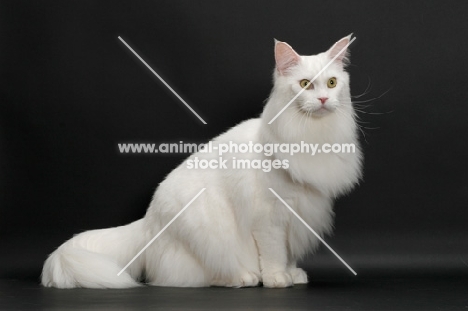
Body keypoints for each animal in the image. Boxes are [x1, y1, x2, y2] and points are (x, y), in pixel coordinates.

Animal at [41, 36, 362, 290]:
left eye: (332, 83)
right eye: (305, 84)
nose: (323, 99)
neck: (313, 136)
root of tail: (147, 222)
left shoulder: (299, 214)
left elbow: (288, 252)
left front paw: (292, 273)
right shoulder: (269, 217)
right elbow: (273, 253)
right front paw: (276, 278)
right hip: (206, 235)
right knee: (199, 276)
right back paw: (244, 278)